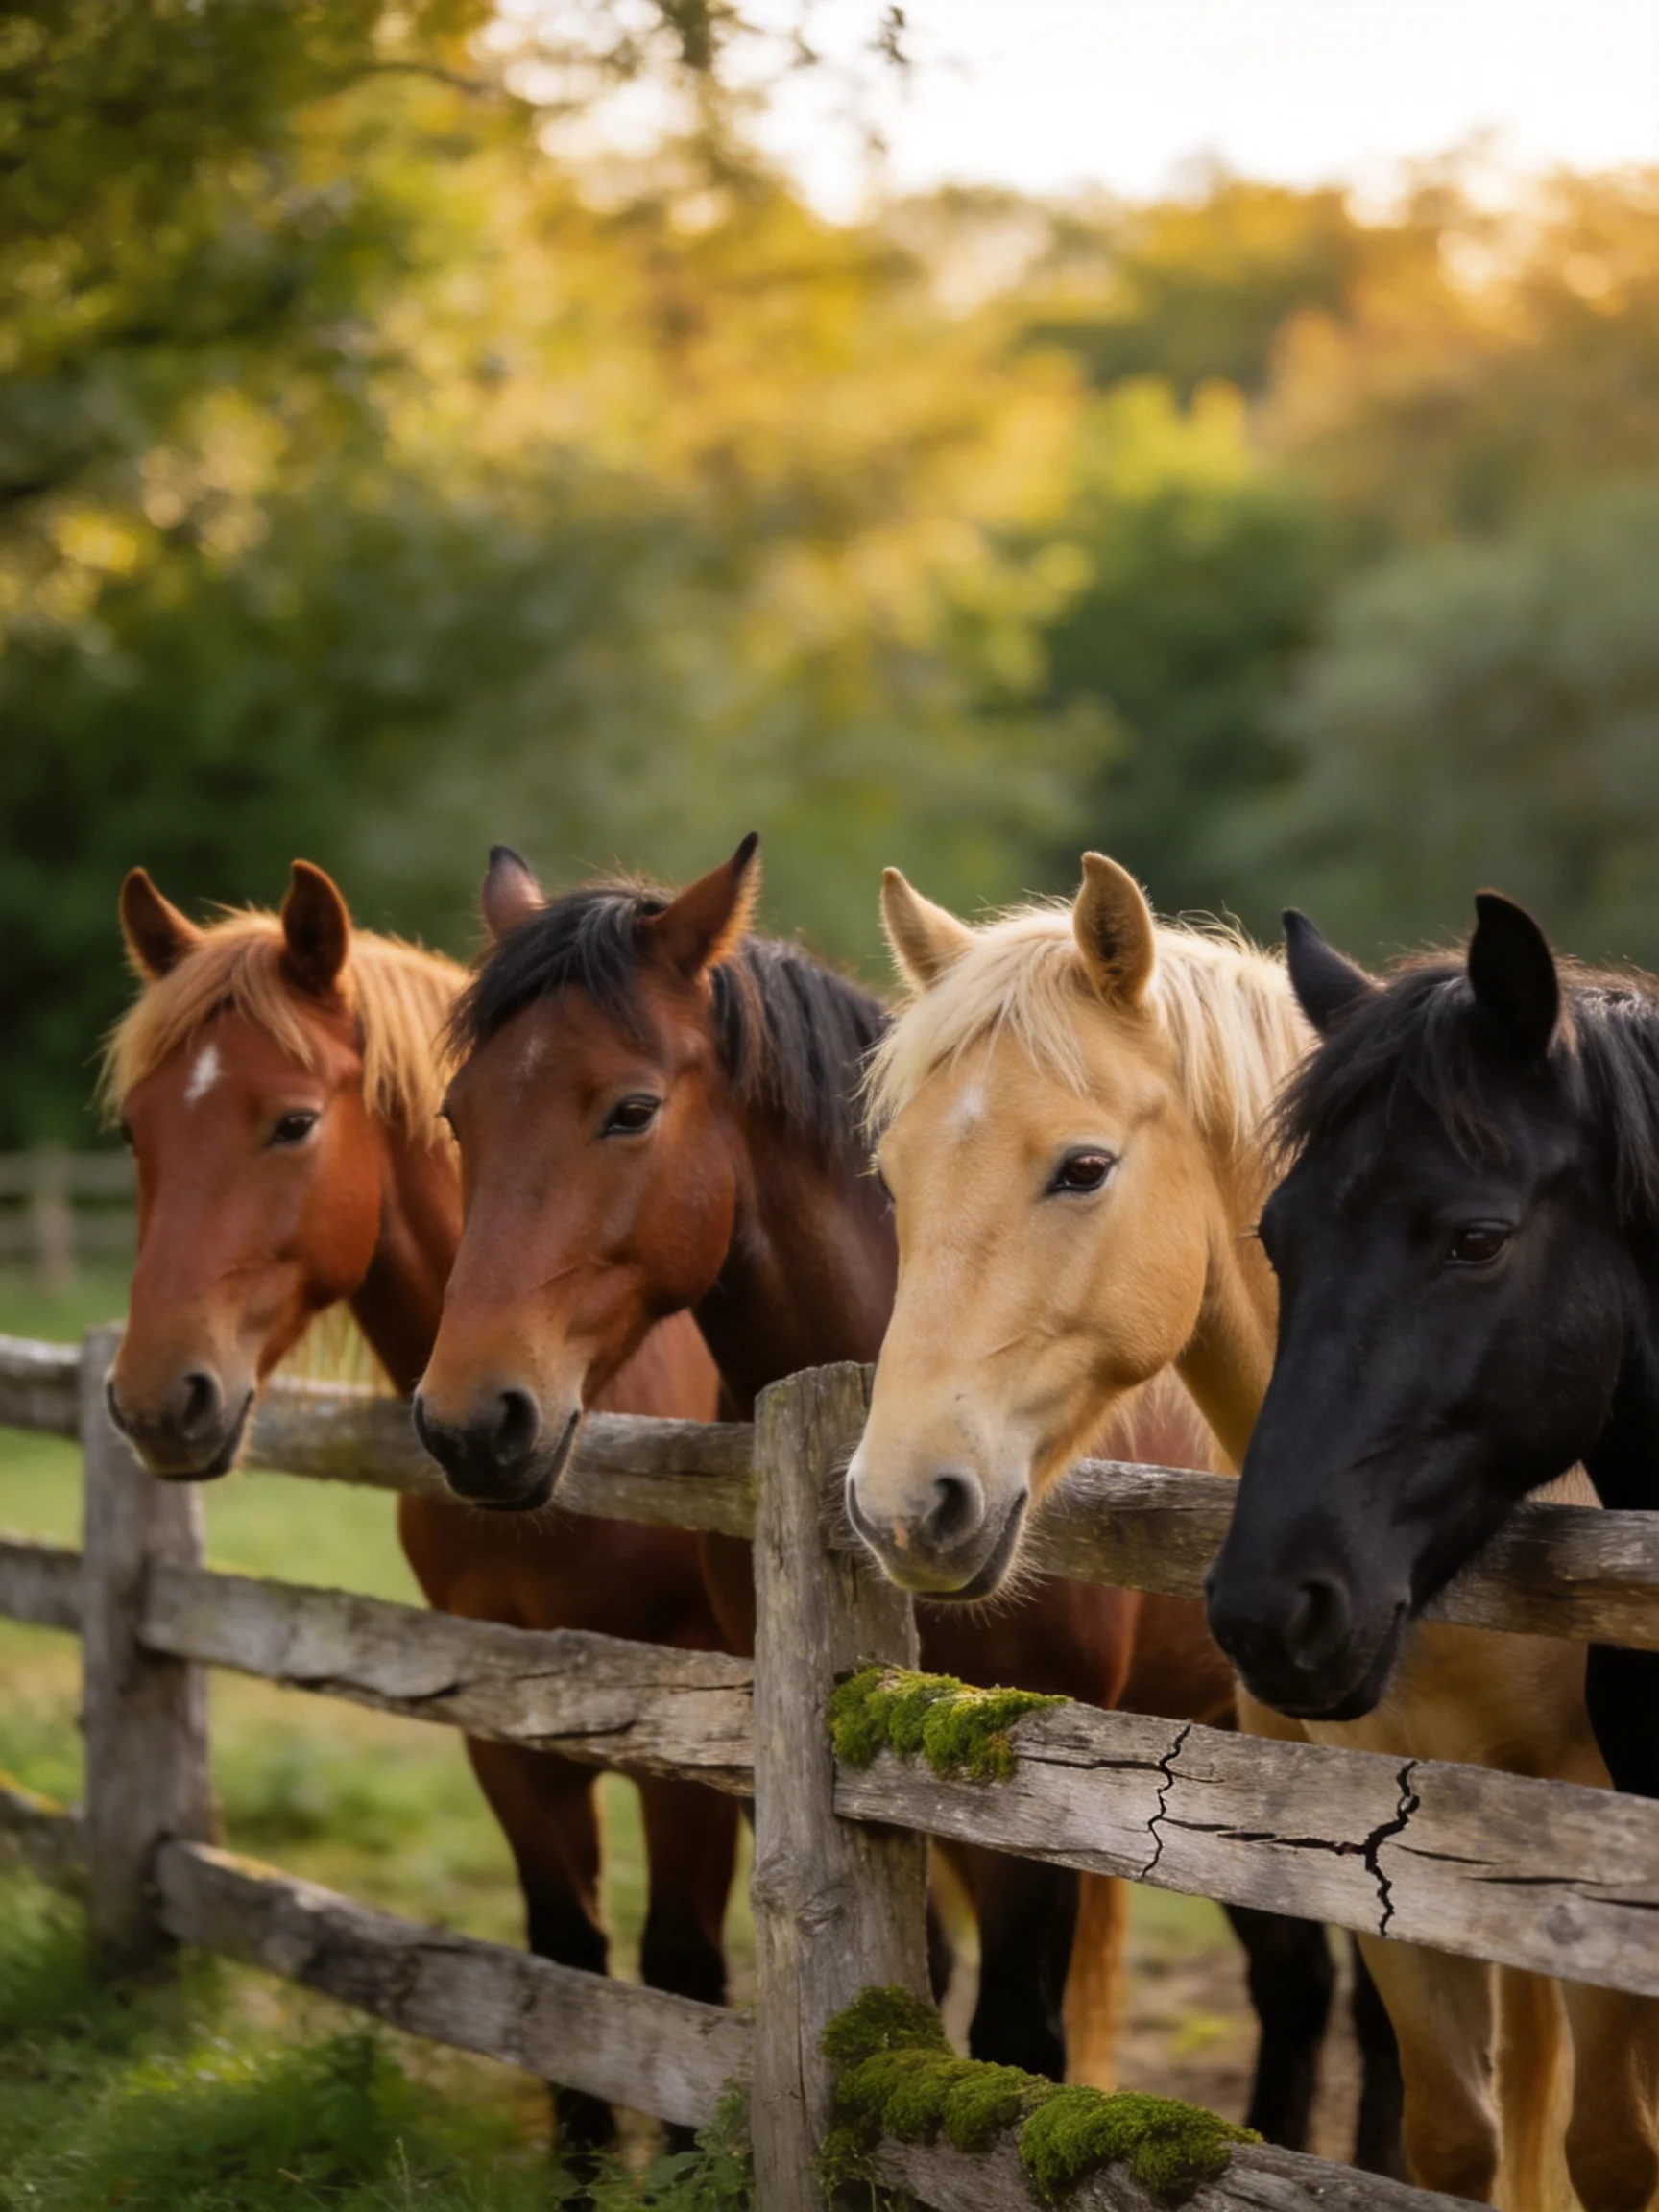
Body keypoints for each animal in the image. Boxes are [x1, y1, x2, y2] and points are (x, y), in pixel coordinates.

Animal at [101, 861, 739, 2173]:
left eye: (293, 1123)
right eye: (136, 1130)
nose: (153, 1402)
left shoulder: (697, 1736)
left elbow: (682, 1974)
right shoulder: (500, 1715)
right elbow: (566, 1959)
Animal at [411, 835, 1373, 2149]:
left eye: (630, 1110)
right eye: (457, 1114)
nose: (470, 1421)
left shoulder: (1036, 1778)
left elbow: (1016, 2039)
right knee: (1297, 1983)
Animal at [846, 850, 1658, 2212]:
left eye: (1083, 1168)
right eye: (897, 1181)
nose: (908, 1503)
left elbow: (1609, 2148)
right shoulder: (1385, 1834)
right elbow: (1456, 2136)